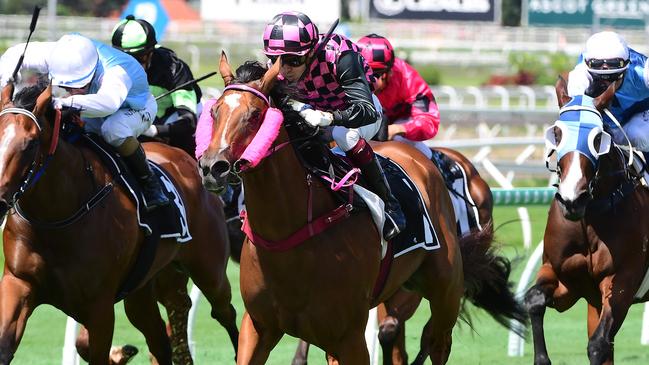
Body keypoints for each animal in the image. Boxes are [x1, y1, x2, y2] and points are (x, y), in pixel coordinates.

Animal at [0, 82, 239, 364]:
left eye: (30, 144)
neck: (56, 218)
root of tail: (189, 161)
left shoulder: (99, 307)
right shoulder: (19, 283)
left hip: (209, 270)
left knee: (225, 312)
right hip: (143, 286)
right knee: (160, 339)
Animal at [199, 54, 528, 364]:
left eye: (255, 114)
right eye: (214, 112)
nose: (212, 167)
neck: (289, 236)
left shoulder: (349, 338)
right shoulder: (258, 327)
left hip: (444, 290)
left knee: (435, 340)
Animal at [524, 75, 648, 362]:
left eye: (598, 137)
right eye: (556, 134)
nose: (572, 198)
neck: (589, 219)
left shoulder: (623, 281)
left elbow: (598, 343)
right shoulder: (565, 279)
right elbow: (534, 300)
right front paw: (542, 358)